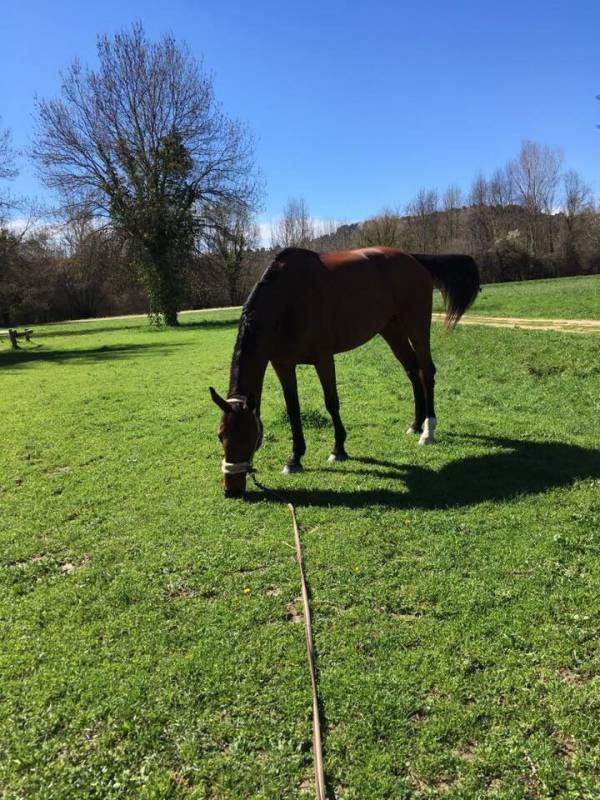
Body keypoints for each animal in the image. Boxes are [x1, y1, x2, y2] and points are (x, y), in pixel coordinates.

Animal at [209, 245, 480, 494]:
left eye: (248, 437)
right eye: (221, 435)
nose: (231, 489)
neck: (286, 300)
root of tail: (413, 259)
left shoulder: (323, 358)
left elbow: (331, 402)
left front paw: (338, 449)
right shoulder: (282, 364)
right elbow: (293, 410)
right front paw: (295, 459)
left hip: (416, 325)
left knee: (426, 372)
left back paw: (427, 430)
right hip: (391, 329)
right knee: (412, 371)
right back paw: (415, 424)